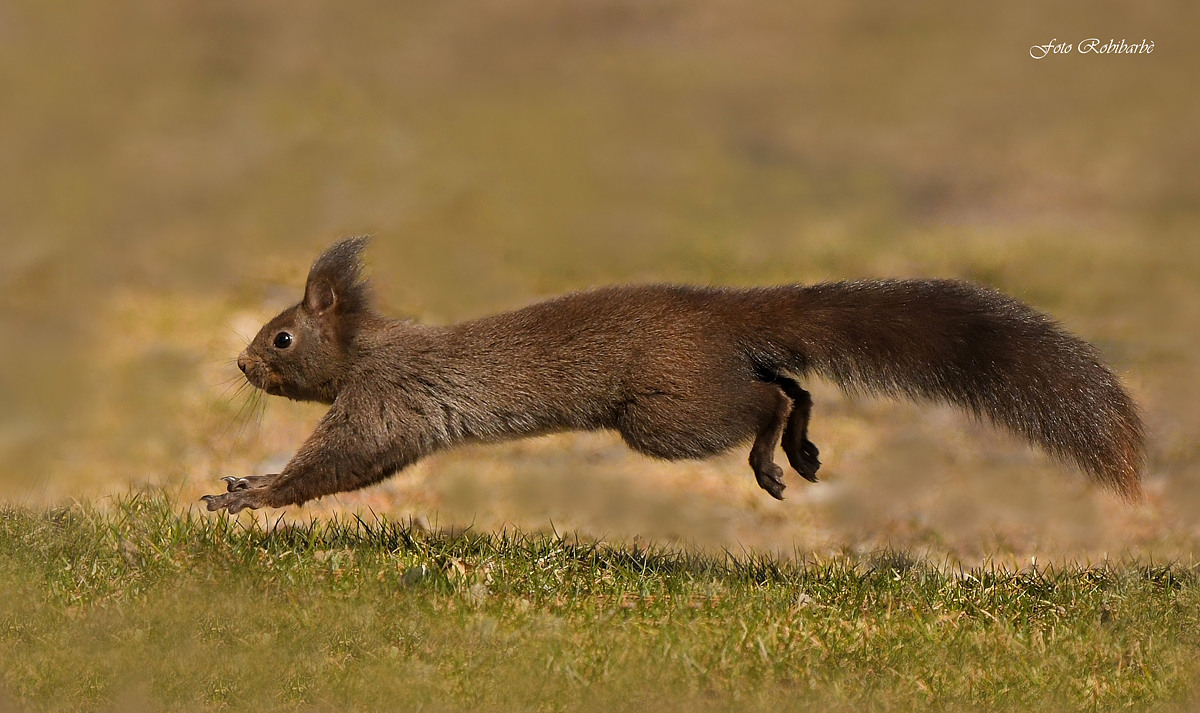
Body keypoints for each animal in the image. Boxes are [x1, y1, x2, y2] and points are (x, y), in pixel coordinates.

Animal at [202, 237, 1145, 514]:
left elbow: (341, 460)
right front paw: (244, 481)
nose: (240, 362)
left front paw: (250, 492)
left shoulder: (389, 402)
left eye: (282, 337)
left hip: (666, 414)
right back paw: (801, 450)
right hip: (695, 391)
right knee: (792, 383)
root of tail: (720, 314)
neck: (368, 349)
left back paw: (772, 457)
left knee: (765, 395)